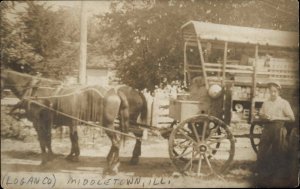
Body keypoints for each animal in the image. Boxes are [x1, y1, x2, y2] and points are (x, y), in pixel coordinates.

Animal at [0, 69, 148, 173]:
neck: (35, 90)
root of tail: (116, 92)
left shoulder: (40, 121)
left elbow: (44, 140)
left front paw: (47, 159)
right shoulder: (66, 121)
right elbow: (67, 138)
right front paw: (69, 155)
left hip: (110, 124)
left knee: (119, 140)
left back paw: (114, 166)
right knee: (134, 135)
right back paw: (120, 160)